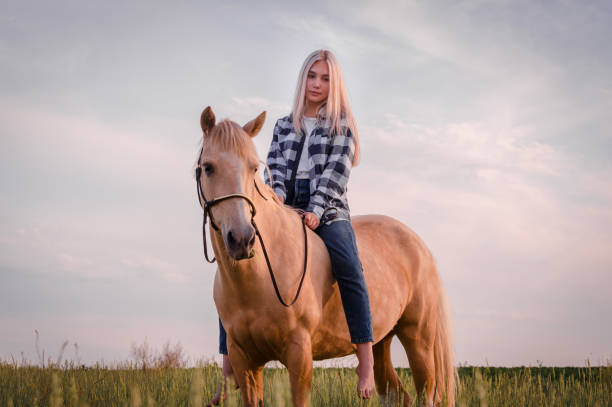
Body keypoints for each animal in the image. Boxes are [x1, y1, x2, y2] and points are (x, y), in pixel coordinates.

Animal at [195, 107, 454, 406]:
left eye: (253, 168)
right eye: (208, 167)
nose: (242, 239)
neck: (261, 276)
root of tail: (419, 245)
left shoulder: (299, 354)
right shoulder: (244, 361)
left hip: (419, 340)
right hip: (382, 341)